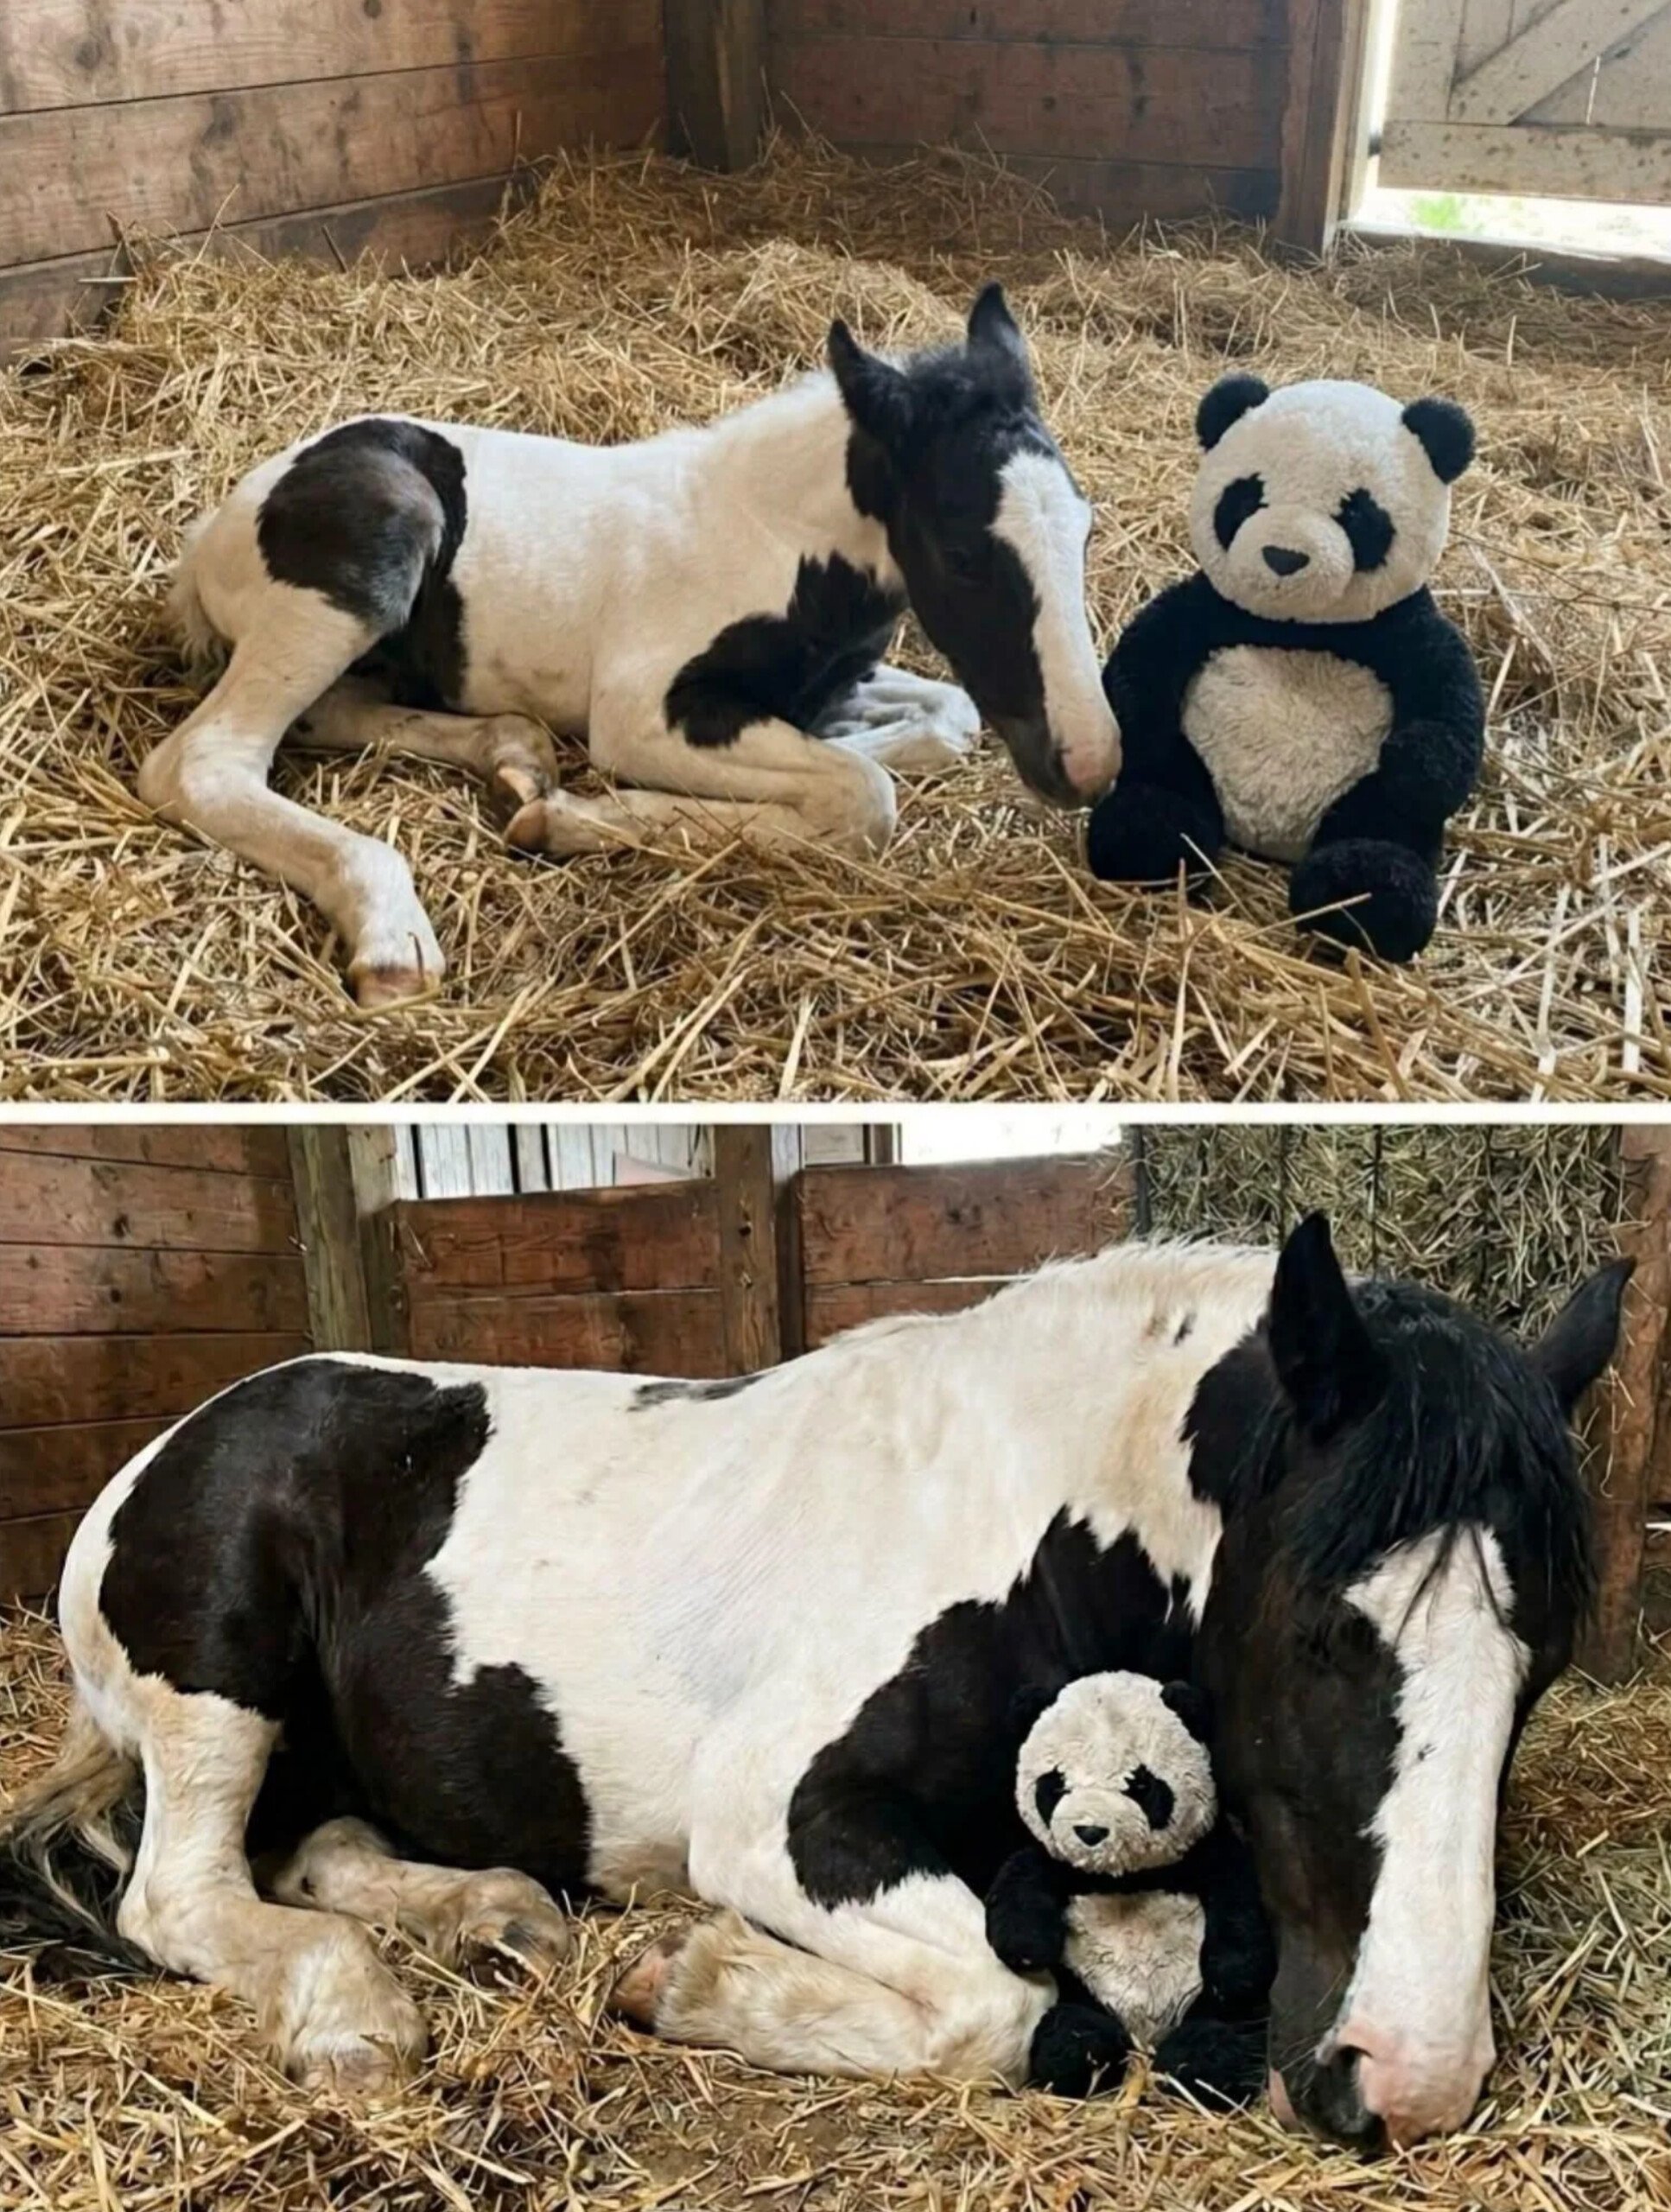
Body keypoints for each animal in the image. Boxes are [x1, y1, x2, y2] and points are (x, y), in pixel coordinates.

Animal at [0, 1216, 1624, 2150]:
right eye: (1318, 1636)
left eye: (1535, 1667)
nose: (1399, 2085)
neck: (1032, 1523)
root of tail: (177, 1442)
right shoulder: (776, 1815)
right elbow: (995, 2005)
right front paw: (694, 1981)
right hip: (221, 1694)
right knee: (182, 1896)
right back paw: (356, 2016)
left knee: (316, 1848)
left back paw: (499, 1920)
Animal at [138, 285, 1119, 1005]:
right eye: (960, 554)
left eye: (1083, 525)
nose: (1090, 764)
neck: (774, 535)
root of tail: (215, 529)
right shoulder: (645, 711)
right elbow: (861, 795)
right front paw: (579, 818)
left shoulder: (839, 682)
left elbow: (939, 722)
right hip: (364, 567)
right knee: (204, 763)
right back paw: (391, 931)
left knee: (332, 712)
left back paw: (516, 756)